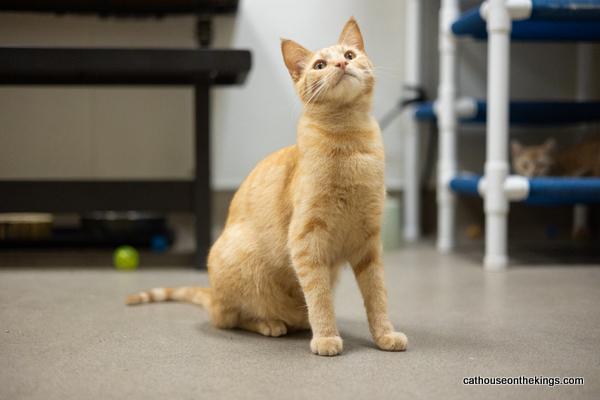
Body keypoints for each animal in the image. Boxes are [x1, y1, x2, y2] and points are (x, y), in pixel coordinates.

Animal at [126, 18, 408, 356]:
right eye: (320, 65)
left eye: (350, 55)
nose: (341, 64)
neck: (349, 142)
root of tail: (212, 293)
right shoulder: (306, 241)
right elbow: (319, 296)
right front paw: (327, 336)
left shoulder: (368, 244)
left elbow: (377, 296)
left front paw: (384, 334)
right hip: (238, 271)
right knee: (229, 318)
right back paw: (270, 324)